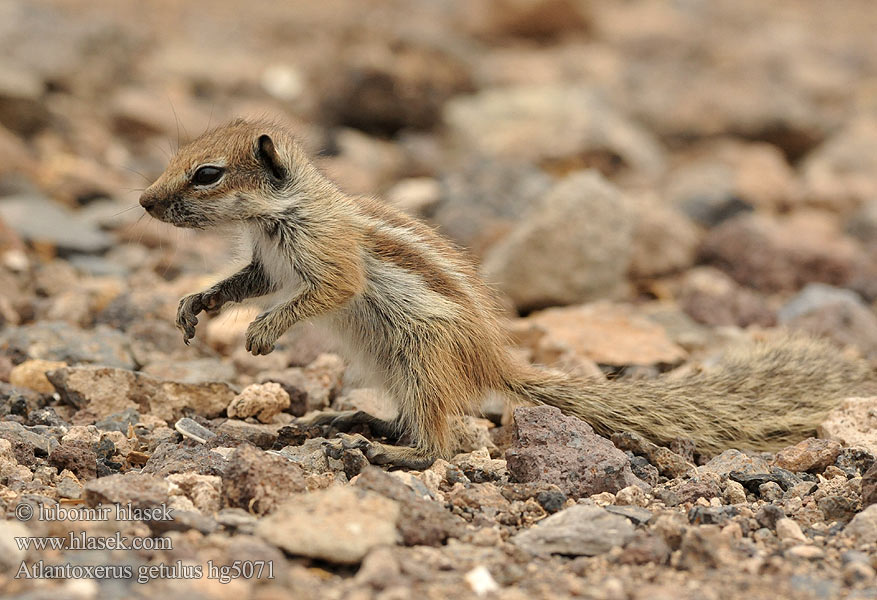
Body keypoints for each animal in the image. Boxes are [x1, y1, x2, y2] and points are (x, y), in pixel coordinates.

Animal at [142, 118, 876, 468]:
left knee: (440, 442)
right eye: (177, 156)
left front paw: (262, 332)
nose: (144, 202)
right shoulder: (266, 263)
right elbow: (247, 282)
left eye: (207, 174)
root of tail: (495, 363)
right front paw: (196, 306)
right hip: (394, 365)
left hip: (421, 355)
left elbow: (324, 289)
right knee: (418, 418)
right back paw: (350, 421)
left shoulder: (326, 255)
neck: (280, 211)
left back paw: (387, 450)